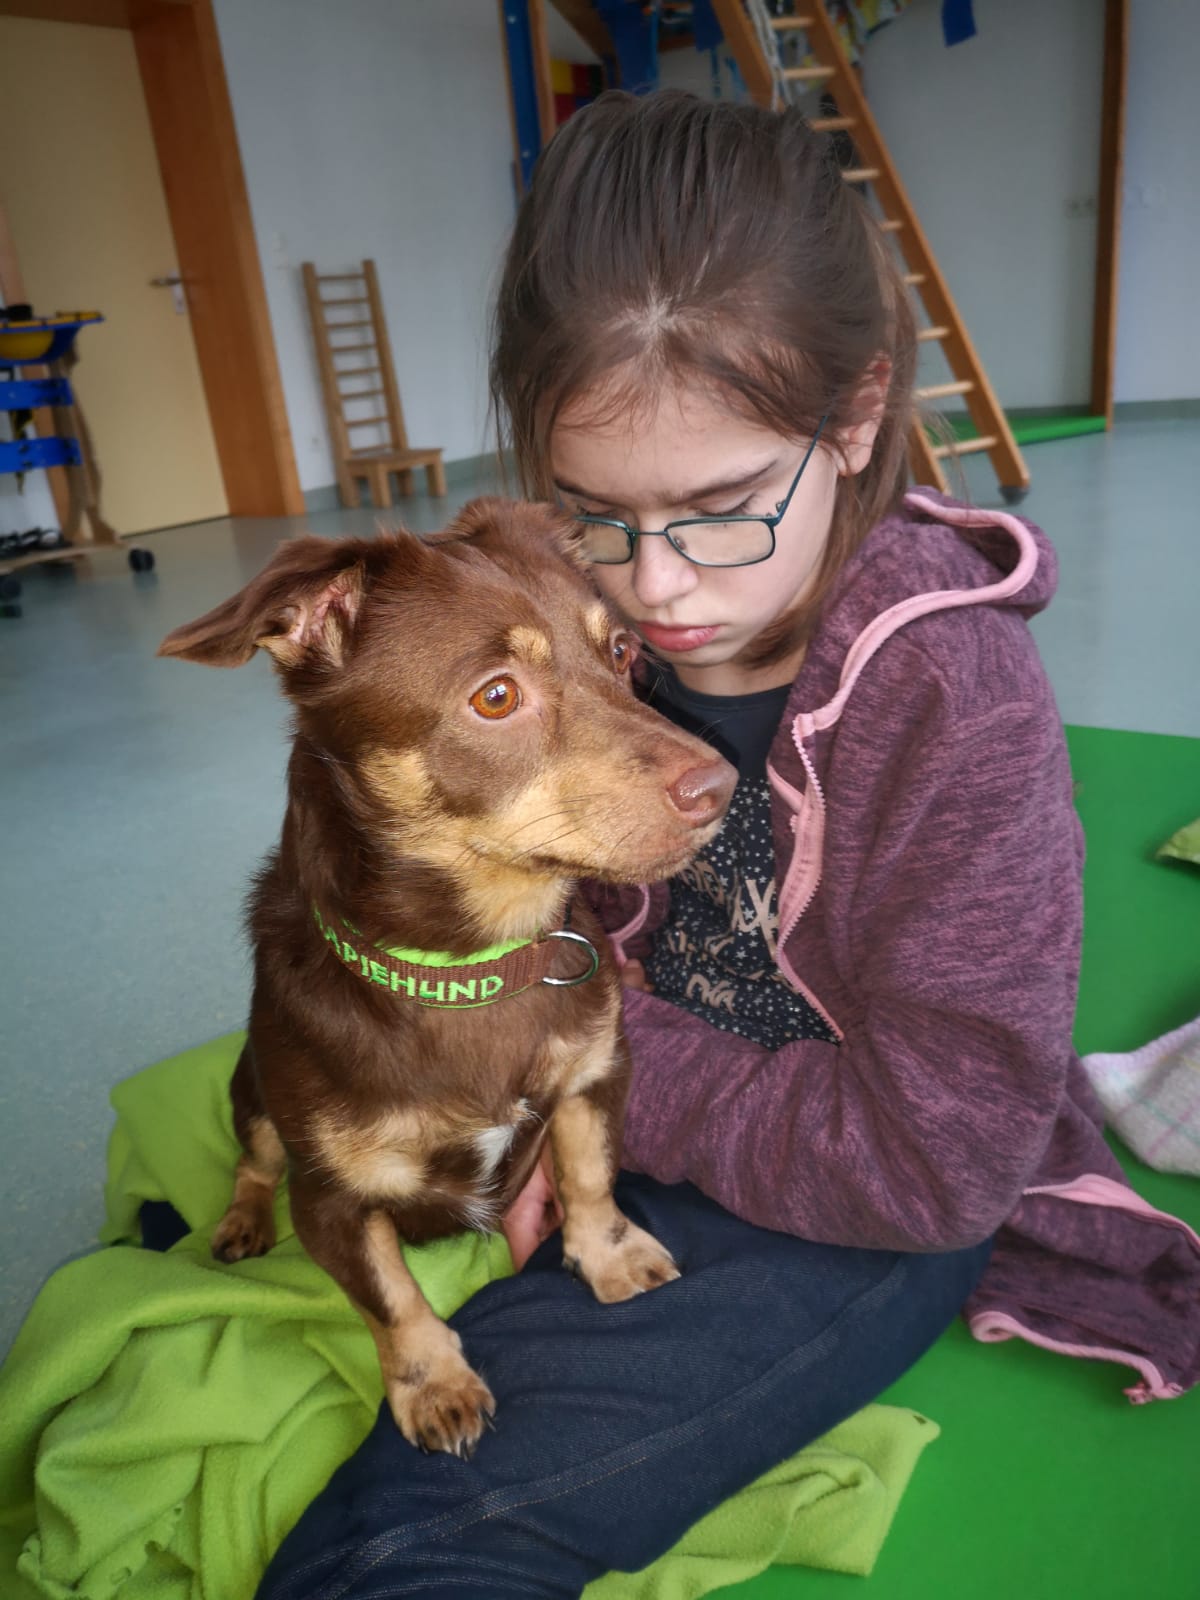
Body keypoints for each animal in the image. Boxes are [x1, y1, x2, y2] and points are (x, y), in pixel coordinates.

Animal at [158, 502, 732, 1465]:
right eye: (496, 696)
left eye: (621, 653)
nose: (721, 786)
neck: (474, 967)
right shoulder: (331, 1201)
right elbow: (391, 1301)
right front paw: (433, 1386)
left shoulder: (595, 1080)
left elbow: (590, 1178)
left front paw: (610, 1257)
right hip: (253, 1091)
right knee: (250, 1160)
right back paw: (240, 1224)